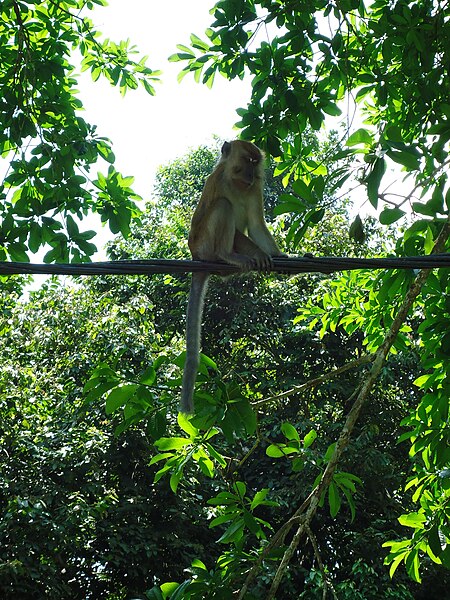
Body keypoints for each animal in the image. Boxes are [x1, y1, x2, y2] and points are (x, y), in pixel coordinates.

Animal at [180, 140, 284, 414]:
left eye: (255, 163)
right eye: (246, 161)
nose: (250, 174)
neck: (236, 183)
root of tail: (196, 256)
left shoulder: (255, 188)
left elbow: (257, 226)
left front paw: (280, 256)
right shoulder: (217, 180)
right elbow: (232, 219)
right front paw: (259, 254)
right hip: (205, 244)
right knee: (222, 207)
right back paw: (227, 255)